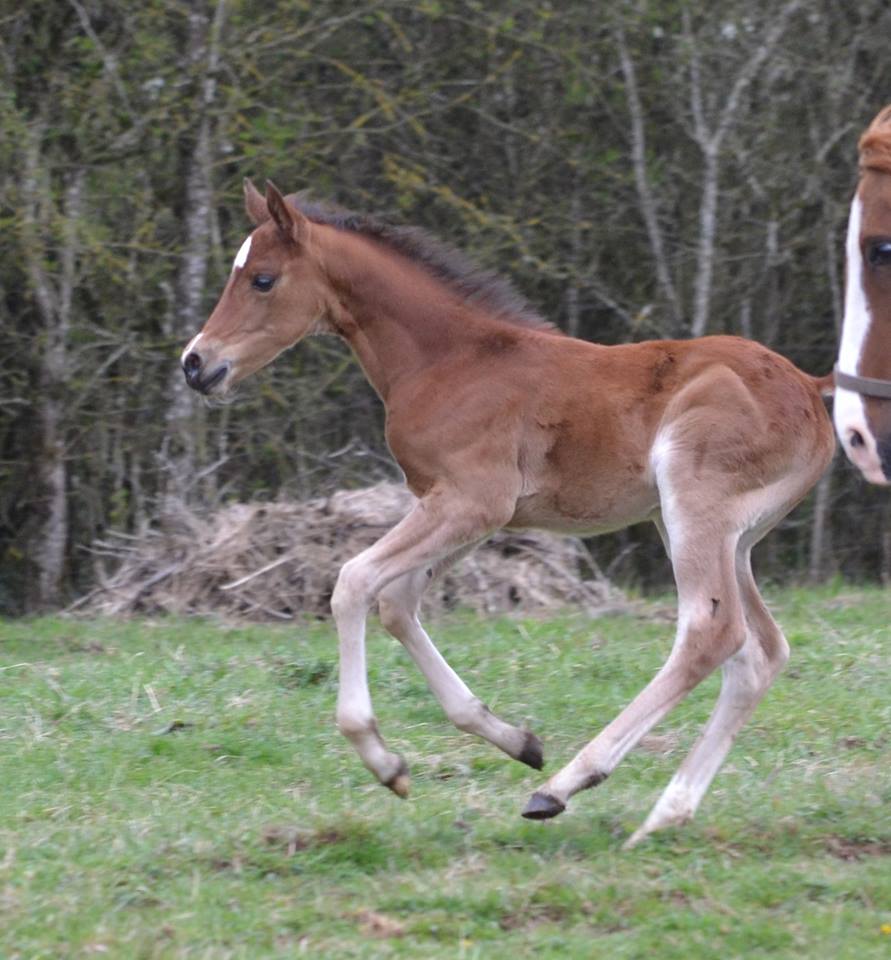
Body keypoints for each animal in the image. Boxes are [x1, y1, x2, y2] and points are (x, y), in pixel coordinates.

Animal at [181, 179, 834, 846]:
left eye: (262, 279)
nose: (195, 363)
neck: (451, 359)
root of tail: (812, 388)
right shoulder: (470, 511)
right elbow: (399, 603)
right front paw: (518, 741)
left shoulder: (472, 499)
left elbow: (353, 582)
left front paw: (384, 761)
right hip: (729, 537)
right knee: (760, 652)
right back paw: (662, 816)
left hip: (693, 506)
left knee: (712, 631)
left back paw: (566, 787)